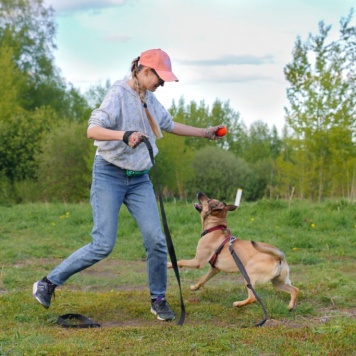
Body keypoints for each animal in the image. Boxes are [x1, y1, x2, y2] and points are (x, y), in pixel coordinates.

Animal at [168, 191, 298, 310]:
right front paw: (195, 287)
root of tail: (279, 257)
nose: (200, 193)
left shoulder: (197, 262)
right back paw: (290, 306)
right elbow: (202, 280)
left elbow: (180, 261)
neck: (215, 227)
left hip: (249, 276)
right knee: (295, 290)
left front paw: (168, 264)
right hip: (278, 282)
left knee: (253, 298)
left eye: (209, 200)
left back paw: (238, 304)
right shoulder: (214, 269)